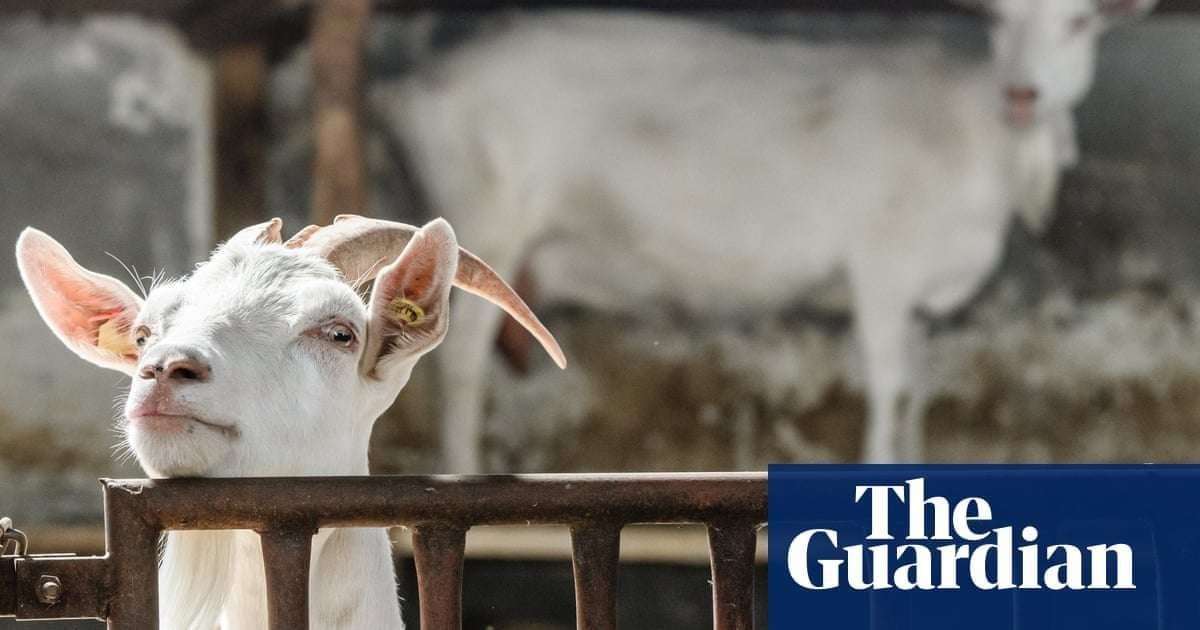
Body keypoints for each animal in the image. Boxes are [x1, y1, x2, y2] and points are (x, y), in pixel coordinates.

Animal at [371, 0, 1157, 467]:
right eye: (997, 19)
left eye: (1082, 23)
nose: (1022, 94)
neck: (981, 137)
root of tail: (415, 88)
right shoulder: (884, 268)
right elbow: (888, 386)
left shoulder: (921, 299)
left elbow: (916, 391)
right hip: (486, 219)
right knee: (461, 364)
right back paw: (462, 472)